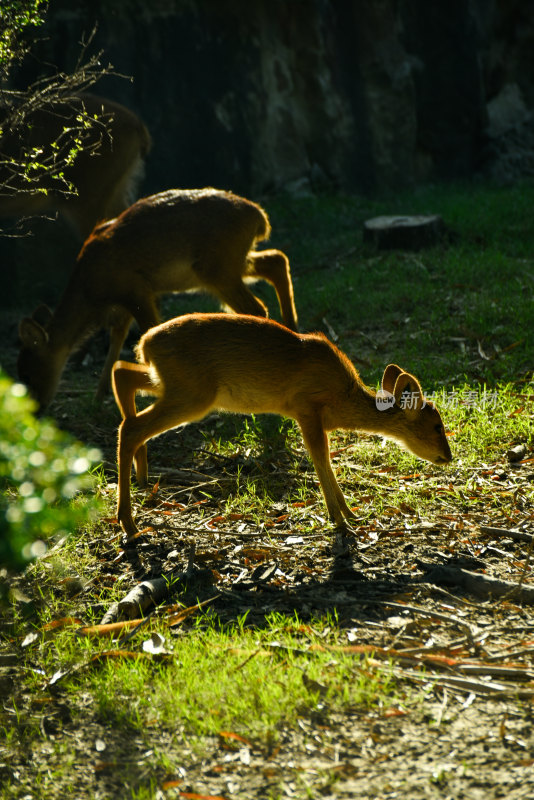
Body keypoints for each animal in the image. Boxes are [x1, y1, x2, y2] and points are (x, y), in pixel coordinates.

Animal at [16, 190, 300, 410]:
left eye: (27, 375)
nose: (37, 411)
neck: (91, 290)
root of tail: (259, 216)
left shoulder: (135, 289)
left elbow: (146, 331)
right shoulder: (125, 302)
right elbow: (117, 338)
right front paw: (99, 396)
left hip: (216, 268)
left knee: (257, 306)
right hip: (232, 261)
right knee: (276, 260)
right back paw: (292, 328)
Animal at [112, 312, 452, 536]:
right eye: (436, 425)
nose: (448, 456)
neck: (342, 398)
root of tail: (145, 342)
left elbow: (324, 462)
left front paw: (350, 514)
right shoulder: (306, 409)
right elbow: (321, 460)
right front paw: (341, 521)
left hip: (172, 384)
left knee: (122, 375)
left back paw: (141, 478)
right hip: (193, 395)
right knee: (130, 426)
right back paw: (128, 523)